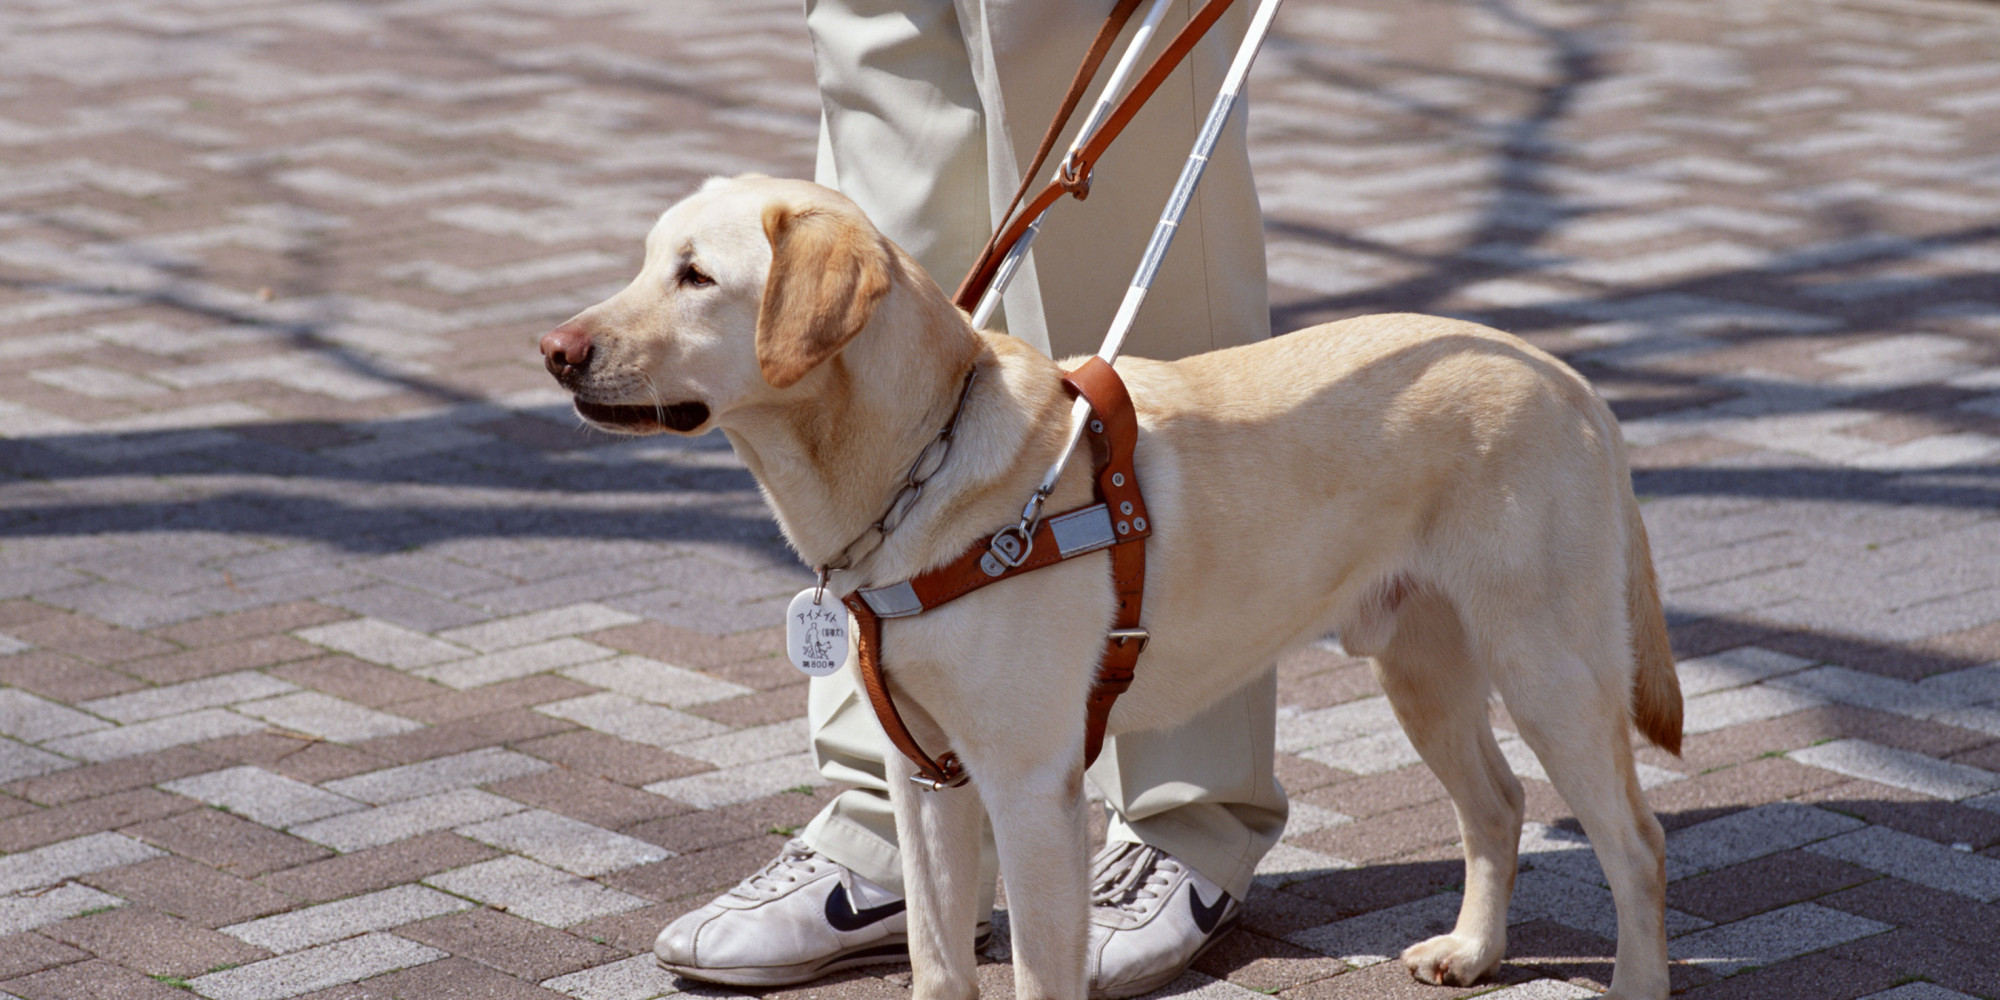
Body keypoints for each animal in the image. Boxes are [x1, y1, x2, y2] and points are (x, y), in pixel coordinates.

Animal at [540, 176, 1680, 996]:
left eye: (696, 276)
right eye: (646, 262)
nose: (552, 349)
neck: (917, 468)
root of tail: (1565, 376)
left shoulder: (1028, 786)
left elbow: (1039, 973)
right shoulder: (924, 778)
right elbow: (935, 958)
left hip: (1550, 667)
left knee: (1636, 840)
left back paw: (1630, 978)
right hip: (1424, 667)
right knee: (1497, 805)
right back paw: (1473, 951)